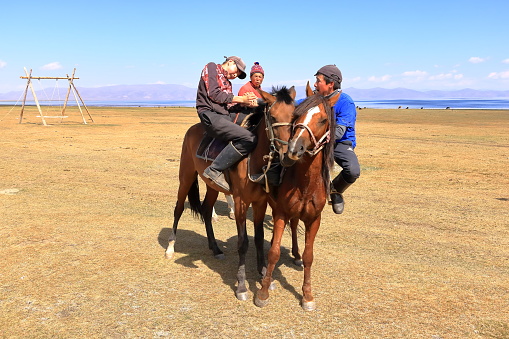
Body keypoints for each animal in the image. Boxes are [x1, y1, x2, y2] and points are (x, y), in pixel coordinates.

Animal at [165, 86, 296, 302]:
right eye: (273, 117)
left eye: (295, 117)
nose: (288, 154)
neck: (253, 158)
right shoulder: (241, 201)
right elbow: (243, 242)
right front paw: (241, 286)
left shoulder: (260, 202)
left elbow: (258, 238)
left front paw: (262, 274)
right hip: (186, 177)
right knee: (178, 209)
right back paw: (170, 248)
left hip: (211, 187)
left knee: (206, 210)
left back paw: (215, 248)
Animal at [256, 83, 340, 310]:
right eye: (298, 115)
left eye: (323, 120)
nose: (294, 149)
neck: (306, 184)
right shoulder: (281, 213)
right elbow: (274, 252)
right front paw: (263, 292)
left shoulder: (314, 220)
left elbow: (309, 256)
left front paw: (307, 296)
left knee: (294, 227)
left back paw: (295, 254)